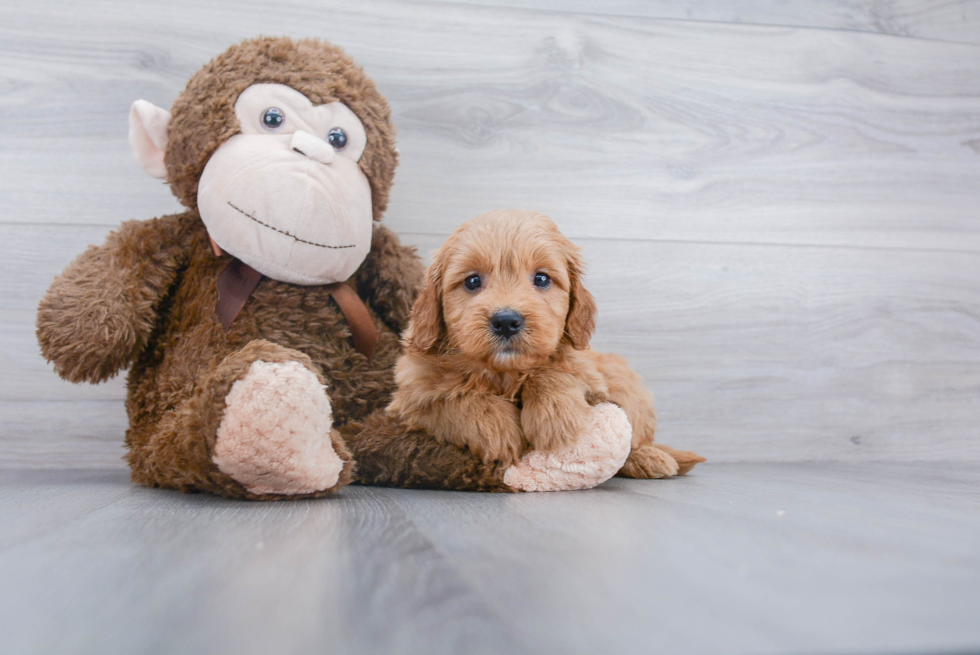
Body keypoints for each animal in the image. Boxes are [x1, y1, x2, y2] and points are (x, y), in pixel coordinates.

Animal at [386, 211, 700, 482]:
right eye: (472, 281)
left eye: (541, 278)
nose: (506, 321)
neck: (504, 372)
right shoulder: (410, 396)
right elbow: (450, 398)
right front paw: (497, 429)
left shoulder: (586, 370)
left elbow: (553, 371)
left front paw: (555, 416)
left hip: (626, 382)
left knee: (636, 435)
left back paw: (650, 458)